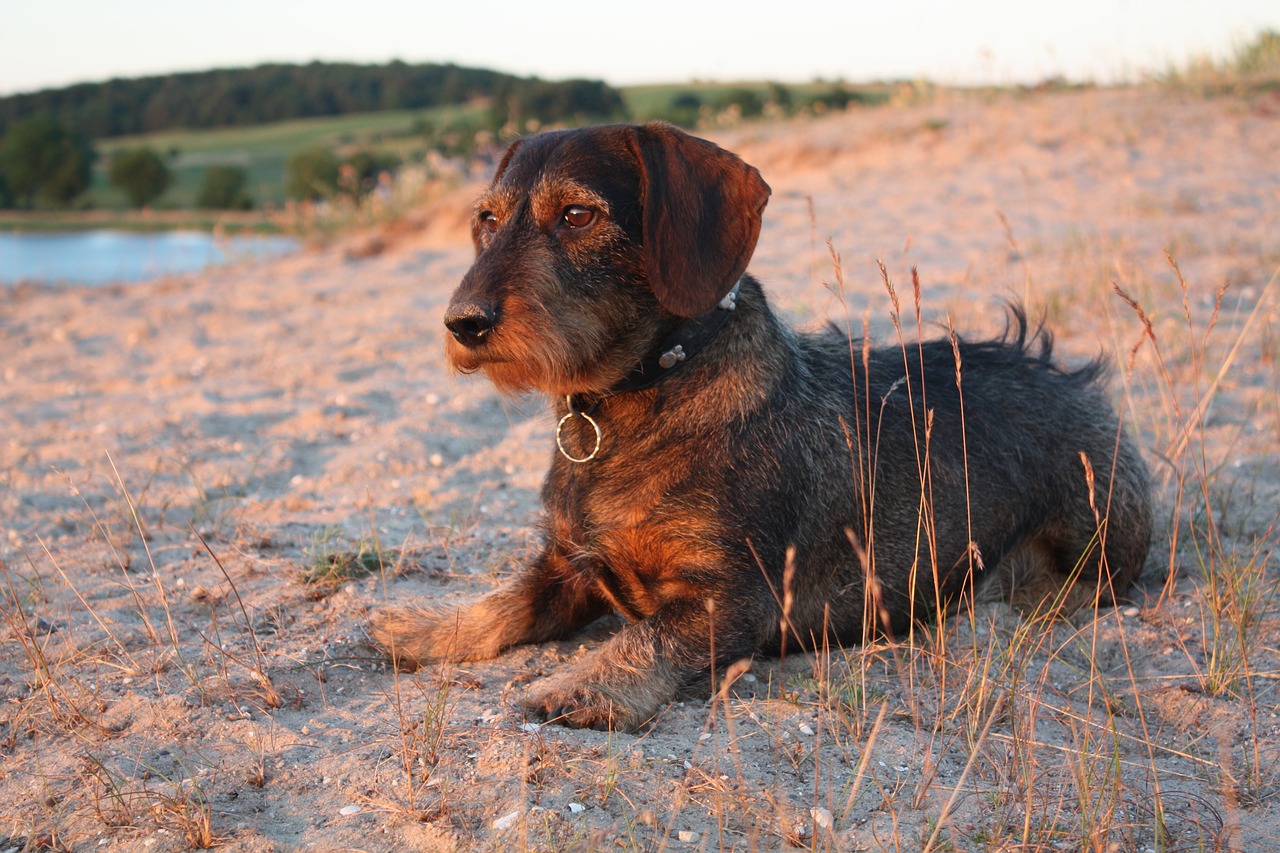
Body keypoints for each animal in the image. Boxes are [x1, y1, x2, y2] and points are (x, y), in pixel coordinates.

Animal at [368, 119, 1152, 727]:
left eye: (578, 216)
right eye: (487, 219)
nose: (462, 323)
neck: (643, 394)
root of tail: (1080, 386)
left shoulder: (735, 600)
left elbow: (643, 640)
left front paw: (579, 683)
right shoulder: (567, 564)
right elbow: (509, 601)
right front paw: (424, 625)